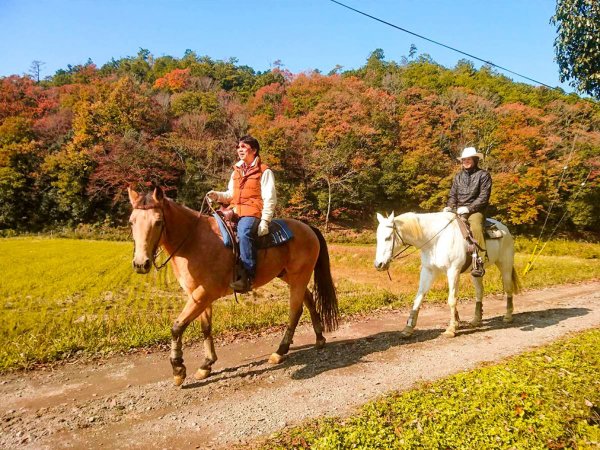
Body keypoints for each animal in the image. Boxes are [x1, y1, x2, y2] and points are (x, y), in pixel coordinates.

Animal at [126, 186, 338, 386]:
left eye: (158, 222)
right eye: (131, 222)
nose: (141, 263)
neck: (193, 241)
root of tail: (308, 227)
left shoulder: (204, 293)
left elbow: (177, 327)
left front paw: (178, 370)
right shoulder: (198, 295)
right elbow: (206, 328)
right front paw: (206, 365)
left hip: (299, 276)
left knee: (295, 310)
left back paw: (280, 351)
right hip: (290, 276)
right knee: (309, 300)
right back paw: (319, 339)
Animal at [376, 213, 520, 336]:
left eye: (388, 237)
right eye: (377, 238)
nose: (378, 264)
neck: (435, 240)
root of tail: (504, 229)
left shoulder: (453, 271)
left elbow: (451, 300)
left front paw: (451, 329)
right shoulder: (428, 271)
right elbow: (419, 297)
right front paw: (408, 328)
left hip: (505, 265)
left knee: (508, 288)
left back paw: (508, 316)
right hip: (476, 273)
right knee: (480, 292)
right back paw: (476, 320)